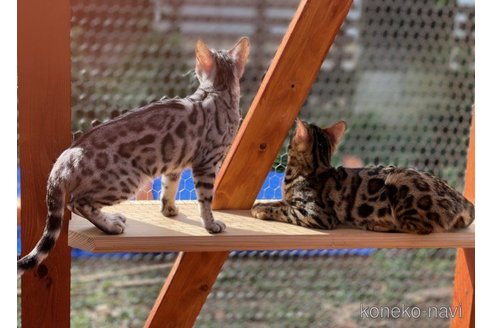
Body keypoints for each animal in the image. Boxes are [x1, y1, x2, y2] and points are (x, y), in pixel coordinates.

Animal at [18, 37, 250, 274]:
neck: (217, 91)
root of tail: (63, 159)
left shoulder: (174, 165)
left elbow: (168, 189)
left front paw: (169, 210)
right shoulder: (207, 163)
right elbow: (205, 200)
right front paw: (211, 224)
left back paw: (111, 218)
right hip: (128, 180)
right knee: (77, 203)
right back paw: (111, 225)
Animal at [252, 120, 474, 233]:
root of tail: (464, 201)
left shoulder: (317, 215)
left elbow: (284, 209)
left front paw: (261, 210)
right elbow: (281, 202)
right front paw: (262, 204)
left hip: (399, 181)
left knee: (417, 228)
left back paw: (377, 225)